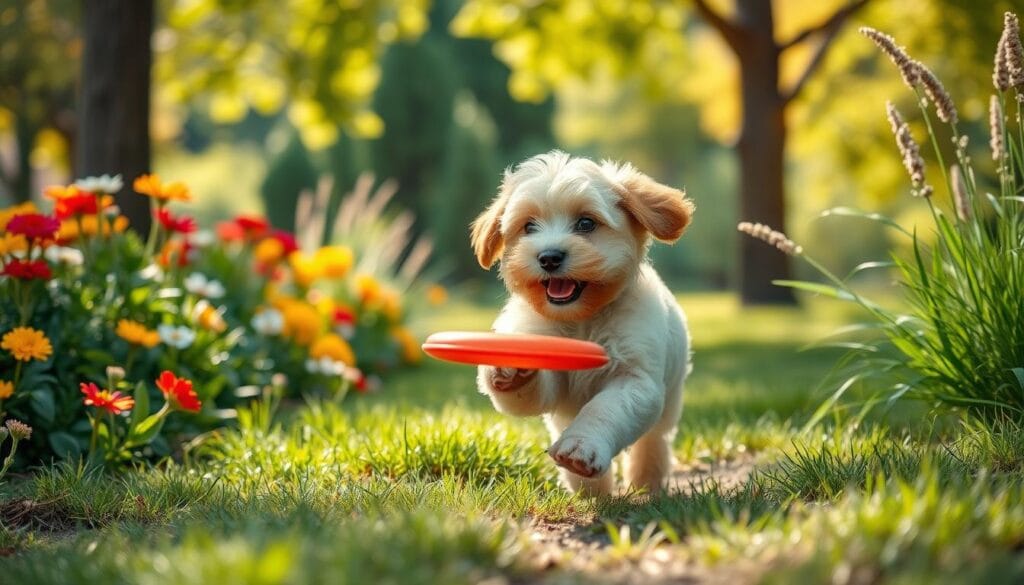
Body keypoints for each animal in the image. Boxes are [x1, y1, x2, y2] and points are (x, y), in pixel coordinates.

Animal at [468, 150, 692, 493]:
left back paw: (646, 482)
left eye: (586, 223)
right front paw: (509, 364)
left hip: (671, 398)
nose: (548, 257)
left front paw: (582, 446)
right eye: (529, 226)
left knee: (654, 441)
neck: (581, 319)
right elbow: (531, 394)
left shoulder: (636, 380)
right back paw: (590, 492)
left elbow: (604, 409)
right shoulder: (552, 376)